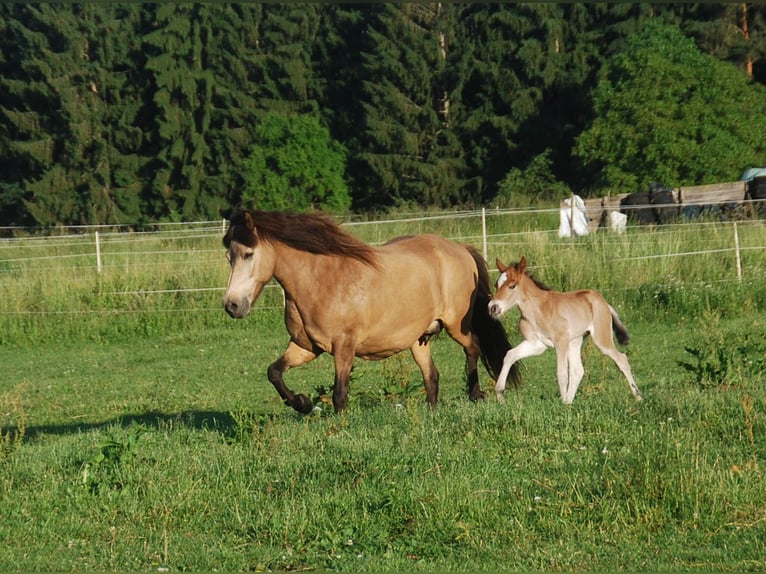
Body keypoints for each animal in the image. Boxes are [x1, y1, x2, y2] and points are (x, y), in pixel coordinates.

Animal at [222, 208, 521, 414]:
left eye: (249, 253)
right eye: (229, 256)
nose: (232, 305)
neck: (321, 280)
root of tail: (460, 248)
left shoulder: (344, 346)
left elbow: (340, 393)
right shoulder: (305, 347)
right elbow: (274, 372)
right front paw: (302, 403)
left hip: (456, 324)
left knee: (472, 347)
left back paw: (475, 394)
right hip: (419, 338)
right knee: (432, 376)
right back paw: (431, 412)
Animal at [488, 256, 642, 405]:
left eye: (512, 286)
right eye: (496, 285)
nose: (493, 308)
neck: (537, 310)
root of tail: (603, 302)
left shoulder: (560, 342)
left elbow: (561, 373)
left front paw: (561, 405)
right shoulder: (536, 344)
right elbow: (509, 355)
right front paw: (500, 395)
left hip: (601, 339)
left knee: (621, 359)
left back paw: (638, 397)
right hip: (575, 341)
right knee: (578, 370)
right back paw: (569, 402)